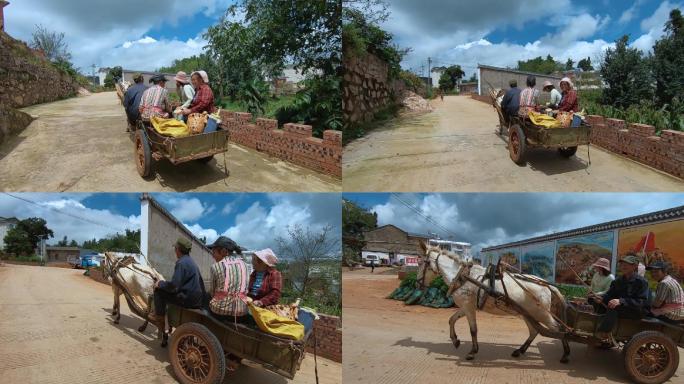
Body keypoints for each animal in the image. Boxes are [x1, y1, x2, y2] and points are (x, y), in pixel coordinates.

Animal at [416, 243, 572, 364]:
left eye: (422, 262)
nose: (417, 283)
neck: (462, 276)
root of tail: (546, 285)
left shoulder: (468, 307)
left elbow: (473, 330)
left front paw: (472, 352)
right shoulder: (466, 306)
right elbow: (452, 319)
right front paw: (455, 340)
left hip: (541, 313)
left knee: (558, 329)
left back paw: (565, 354)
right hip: (528, 313)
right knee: (534, 331)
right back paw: (520, 350)